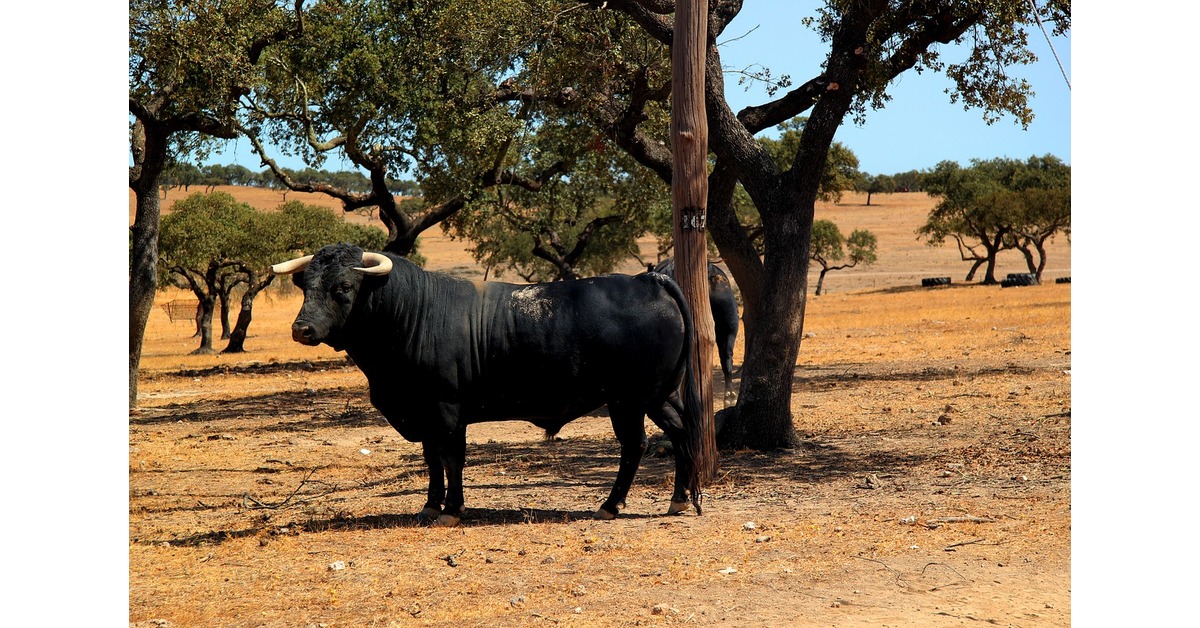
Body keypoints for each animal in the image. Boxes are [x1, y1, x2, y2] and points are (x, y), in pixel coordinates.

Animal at [272, 246, 705, 525]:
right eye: (305, 285)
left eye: (343, 287)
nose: (301, 329)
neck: (413, 313)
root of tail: (648, 279)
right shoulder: (426, 415)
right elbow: (432, 459)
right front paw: (431, 505)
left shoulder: (445, 410)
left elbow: (451, 459)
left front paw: (451, 510)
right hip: (659, 396)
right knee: (681, 432)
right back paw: (680, 500)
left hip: (627, 400)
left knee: (636, 445)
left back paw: (611, 506)